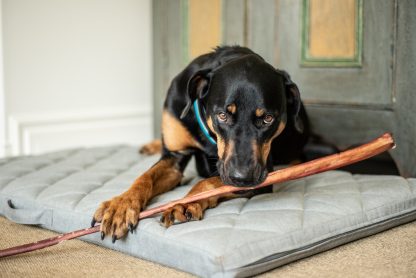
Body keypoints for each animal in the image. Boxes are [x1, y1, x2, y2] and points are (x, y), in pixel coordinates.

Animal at [92, 45, 310, 241]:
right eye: (222, 115)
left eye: (268, 119)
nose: (243, 178)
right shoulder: (174, 157)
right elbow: (145, 177)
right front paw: (121, 205)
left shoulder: (263, 178)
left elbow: (209, 182)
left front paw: (185, 203)